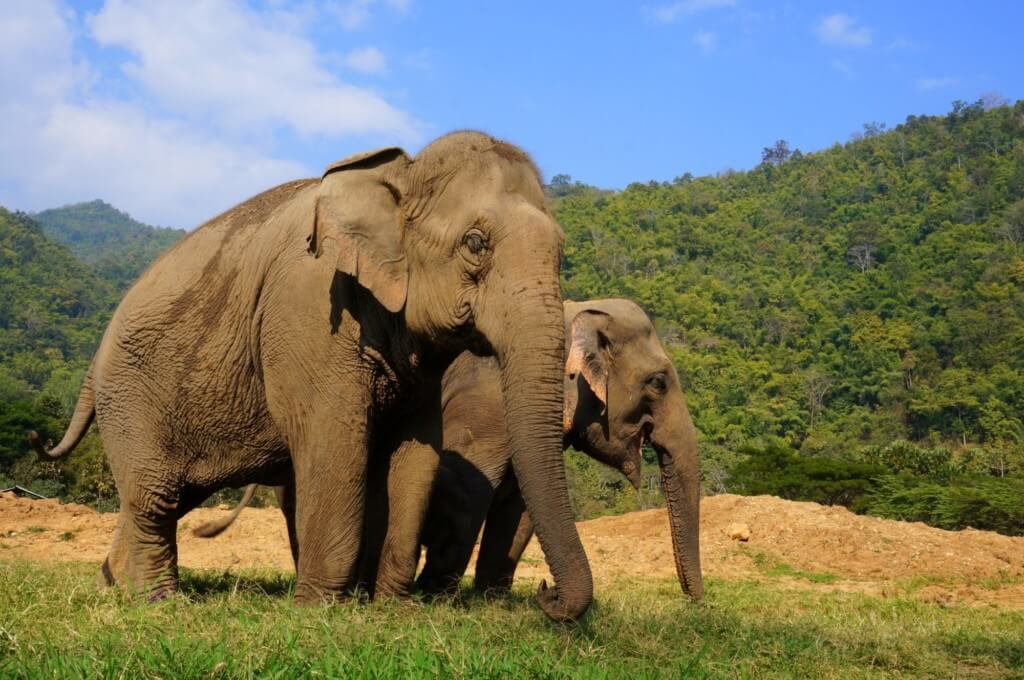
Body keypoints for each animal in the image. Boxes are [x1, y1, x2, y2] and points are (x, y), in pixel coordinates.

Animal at [29, 131, 593, 622]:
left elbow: (417, 453)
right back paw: (159, 602)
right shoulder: (309, 312)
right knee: (153, 497)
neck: (400, 174)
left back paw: (113, 588)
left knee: (159, 498)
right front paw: (322, 610)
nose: (545, 594)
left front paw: (394, 609)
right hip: (130, 396)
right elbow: (334, 443)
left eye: (562, 251)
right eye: (476, 243)